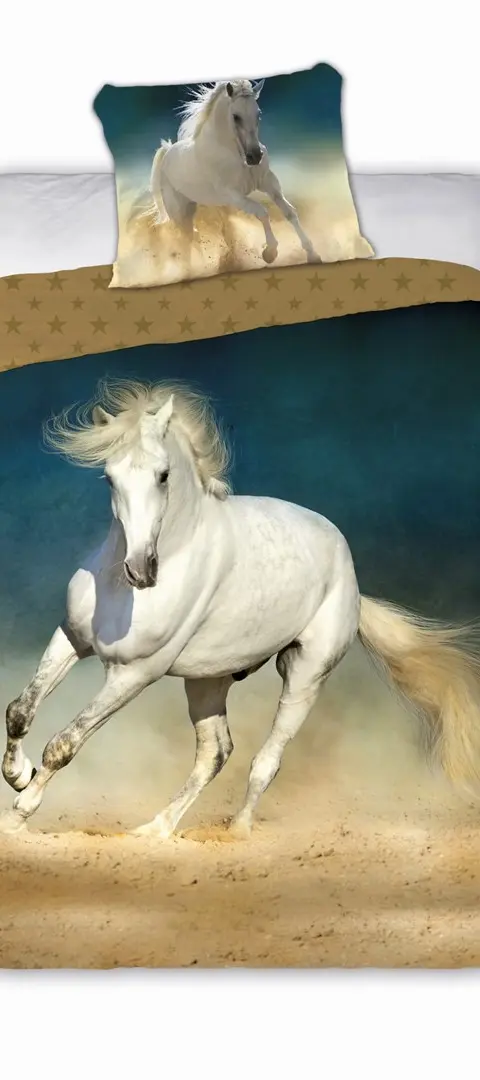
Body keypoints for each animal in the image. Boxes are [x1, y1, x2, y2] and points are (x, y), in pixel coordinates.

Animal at [2, 378, 480, 839]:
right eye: (108, 477)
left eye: (163, 475)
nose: (140, 570)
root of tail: (353, 582)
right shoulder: (72, 638)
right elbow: (20, 711)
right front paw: (19, 775)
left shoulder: (133, 674)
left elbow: (64, 743)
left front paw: (19, 814)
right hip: (207, 680)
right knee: (215, 751)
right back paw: (154, 830)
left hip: (304, 675)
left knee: (266, 759)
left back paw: (237, 832)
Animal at [149, 79, 319, 266]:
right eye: (236, 116)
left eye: (258, 114)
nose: (255, 156)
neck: (235, 155)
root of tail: (166, 152)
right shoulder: (234, 196)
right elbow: (262, 212)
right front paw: (270, 252)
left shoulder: (267, 181)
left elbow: (289, 212)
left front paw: (313, 254)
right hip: (179, 212)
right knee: (185, 240)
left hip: (191, 206)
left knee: (193, 235)